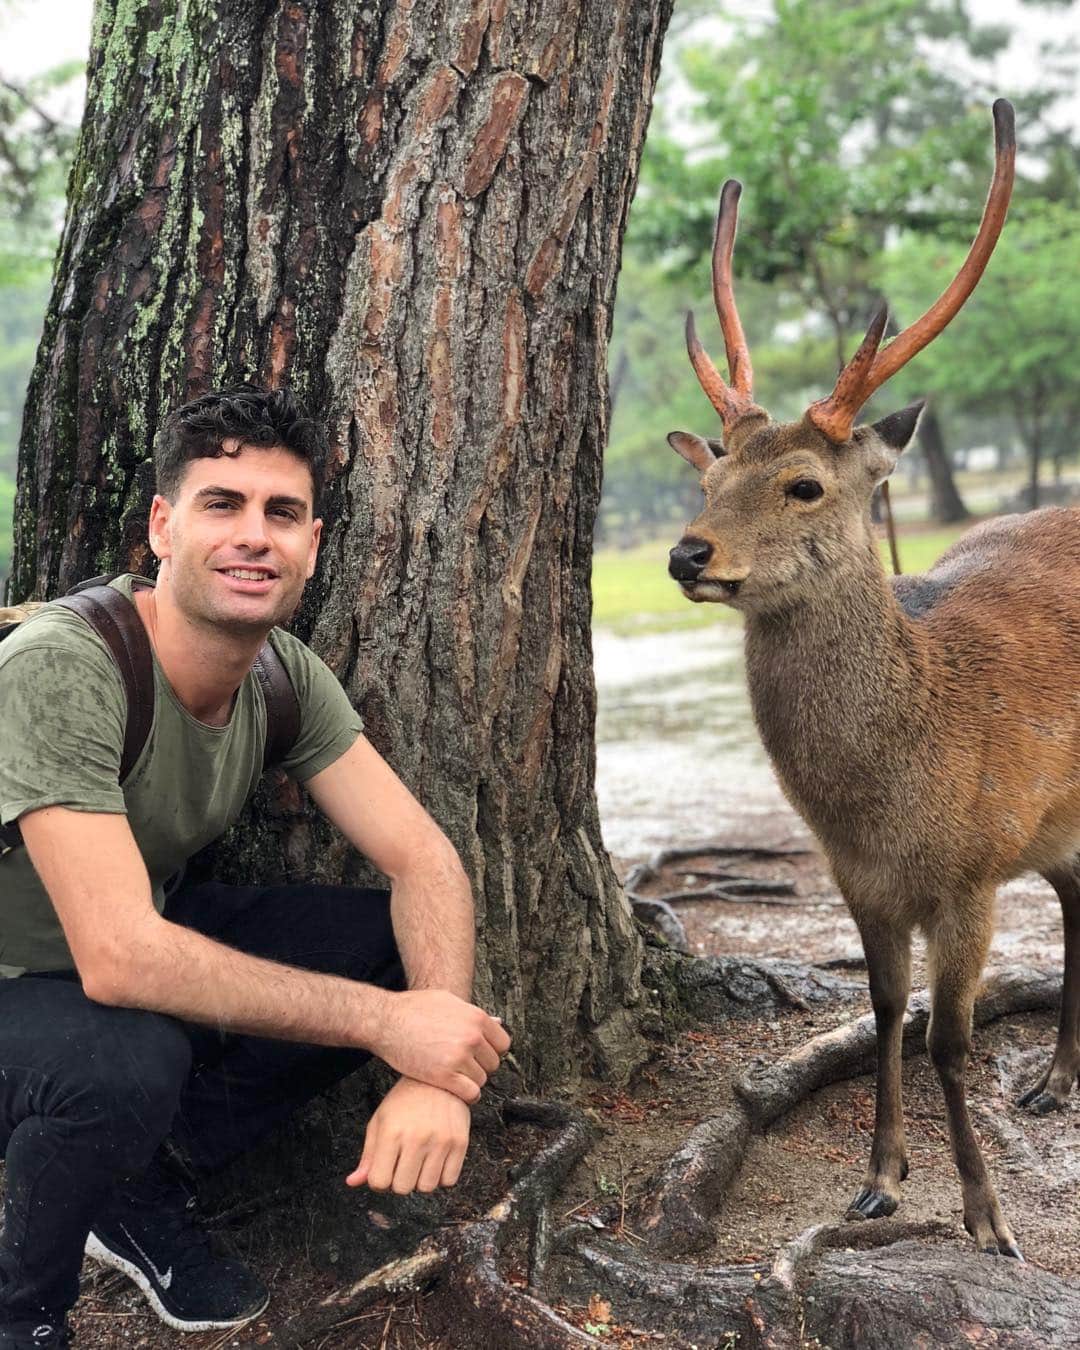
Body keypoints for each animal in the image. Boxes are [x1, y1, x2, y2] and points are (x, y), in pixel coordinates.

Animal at [665, 99, 1080, 1260]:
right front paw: (882, 1179)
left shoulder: (973, 872)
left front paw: (988, 1219)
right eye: (711, 476)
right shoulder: (859, 879)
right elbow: (890, 1010)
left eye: (804, 484)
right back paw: (1054, 1081)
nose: (686, 554)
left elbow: (950, 1040)